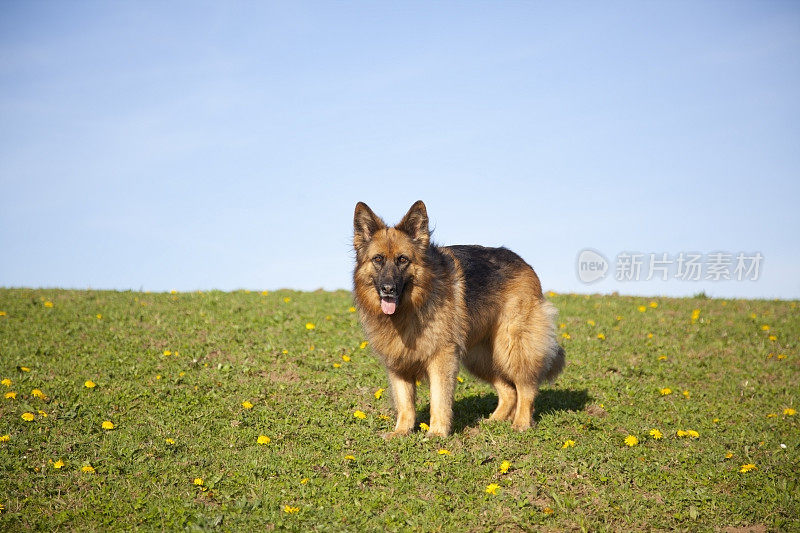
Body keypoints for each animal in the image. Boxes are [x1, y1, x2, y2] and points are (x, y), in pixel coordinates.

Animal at [354, 200, 564, 436]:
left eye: (403, 260)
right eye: (378, 259)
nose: (387, 289)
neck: (412, 306)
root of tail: (524, 263)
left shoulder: (441, 357)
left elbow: (439, 399)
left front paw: (437, 433)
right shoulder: (397, 363)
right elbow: (405, 403)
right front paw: (401, 432)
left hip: (512, 347)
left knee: (526, 385)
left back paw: (521, 424)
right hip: (480, 357)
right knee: (509, 390)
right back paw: (493, 421)